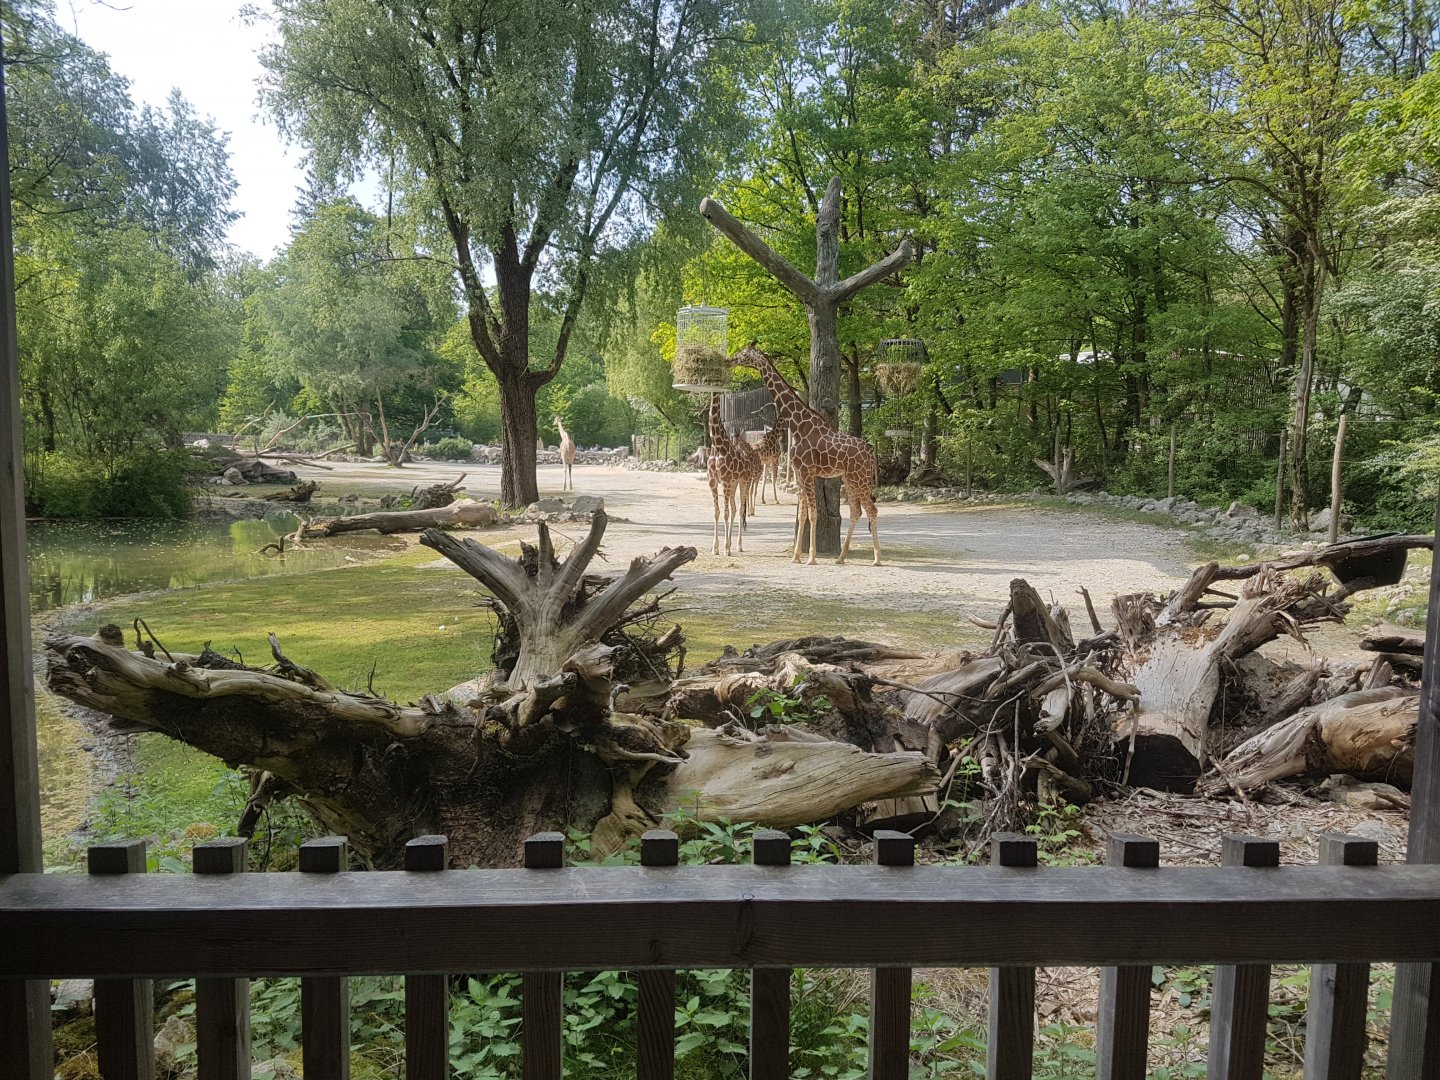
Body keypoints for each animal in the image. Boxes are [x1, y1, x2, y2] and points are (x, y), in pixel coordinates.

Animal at [705, 393, 761, 555]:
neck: (717, 446)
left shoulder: (725, 481)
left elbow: (725, 513)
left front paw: (724, 548)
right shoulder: (712, 481)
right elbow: (717, 512)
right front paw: (715, 547)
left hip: (744, 482)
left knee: (741, 509)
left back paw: (738, 545)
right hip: (734, 484)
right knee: (735, 509)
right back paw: (730, 544)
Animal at [733, 343, 880, 565]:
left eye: (743, 353)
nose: (731, 360)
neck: (798, 425)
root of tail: (870, 453)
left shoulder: (808, 472)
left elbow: (813, 513)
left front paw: (811, 557)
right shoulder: (800, 474)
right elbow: (802, 514)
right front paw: (796, 557)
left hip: (860, 478)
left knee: (872, 510)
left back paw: (877, 558)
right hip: (850, 479)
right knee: (857, 511)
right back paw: (840, 558)